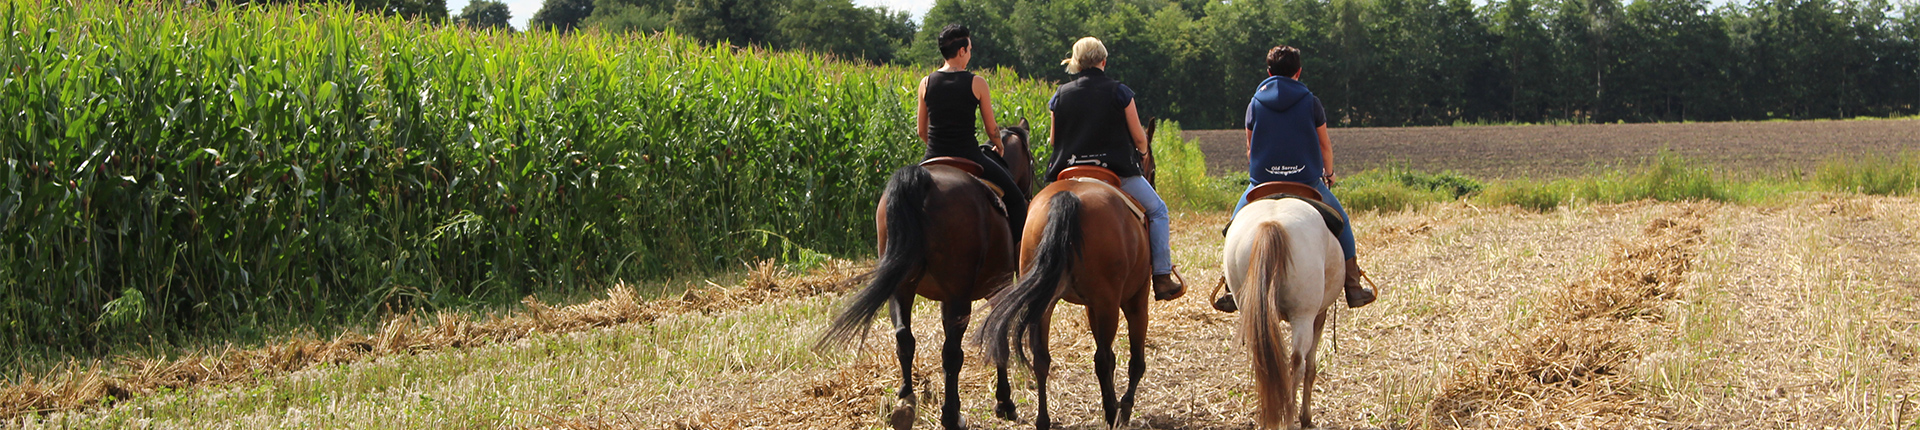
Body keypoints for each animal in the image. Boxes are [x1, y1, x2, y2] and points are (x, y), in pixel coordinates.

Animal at [816, 120, 1036, 430]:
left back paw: (905, 403)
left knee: (904, 339)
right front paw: (1004, 403)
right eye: (1032, 161)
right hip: (958, 297)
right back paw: (951, 415)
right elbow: (997, 336)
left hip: (903, 288)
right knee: (951, 353)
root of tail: (922, 181)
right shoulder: (998, 288)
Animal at [979, 166, 1154, 429]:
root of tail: (1068, 197)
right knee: (1102, 359)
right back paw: (1111, 413)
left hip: (1045, 304)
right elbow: (1135, 362)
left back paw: (1043, 419)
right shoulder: (1135, 301)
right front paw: (1124, 407)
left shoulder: (1093, 306)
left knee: (1041, 359)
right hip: (1109, 303)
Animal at [1222, 197, 1344, 429]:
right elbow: (1311, 367)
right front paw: (1306, 417)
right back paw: (1289, 419)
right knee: (1297, 364)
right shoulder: (1319, 316)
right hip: (1303, 316)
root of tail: (1272, 224)